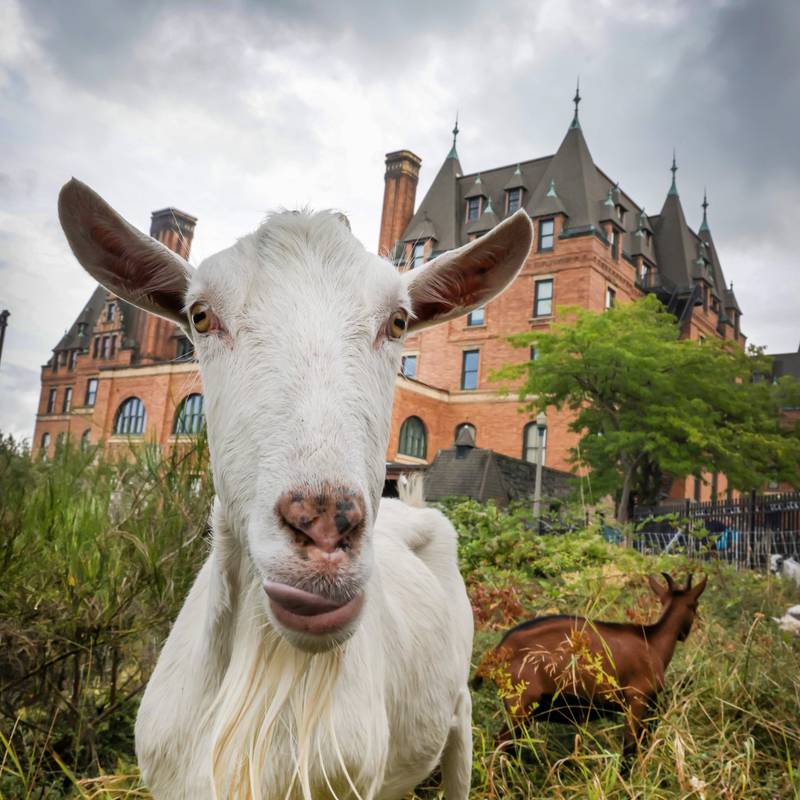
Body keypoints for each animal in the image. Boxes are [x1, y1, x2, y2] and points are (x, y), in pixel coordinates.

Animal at [476, 572, 708, 760]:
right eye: (695, 605)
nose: (684, 634)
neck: (653, 641)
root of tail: (499, 650)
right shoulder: (637, 699)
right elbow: (629, 748)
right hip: (520, 704)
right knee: (500, 743)